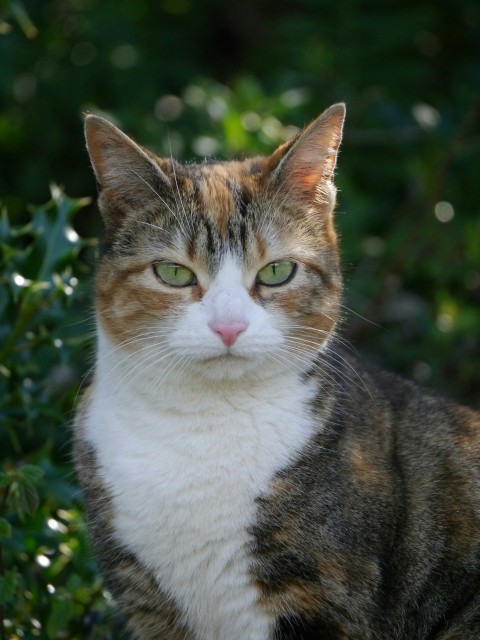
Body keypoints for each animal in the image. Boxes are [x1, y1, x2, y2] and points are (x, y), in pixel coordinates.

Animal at [73, 106, 480, 640]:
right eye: (174, 273)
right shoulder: (147, 602)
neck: (205, 426)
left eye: (276, 272)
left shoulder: (324, 596)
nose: (229, 326)